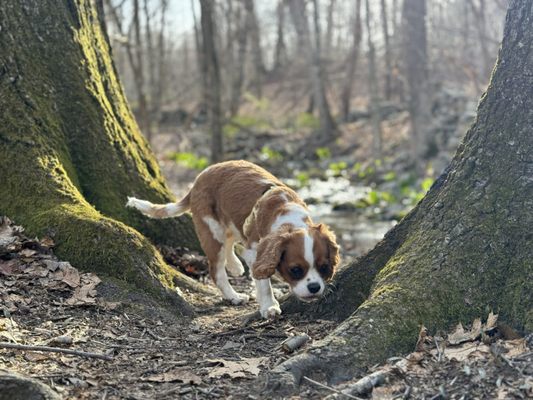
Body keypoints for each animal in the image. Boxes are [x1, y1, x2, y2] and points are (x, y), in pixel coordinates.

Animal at [127, 159, 338, 318]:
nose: (314, 287)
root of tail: (198, 180)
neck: (288, 217)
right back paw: (233, 295)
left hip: (230, 225)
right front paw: (269, 306)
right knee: (217, 271)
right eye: (295, 270)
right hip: (212, 231)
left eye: (324, 267)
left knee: (230, 244)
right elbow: (263, 282)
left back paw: (235, 265)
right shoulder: (255, 251)